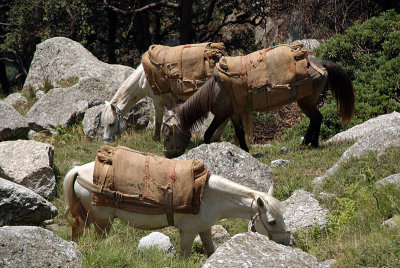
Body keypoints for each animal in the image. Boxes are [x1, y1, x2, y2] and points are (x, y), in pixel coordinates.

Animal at [64, 146, 292, 258]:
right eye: (272, 222)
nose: (287, 243)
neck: (209, 196)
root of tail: (79, 171)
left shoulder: (204, 228)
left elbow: (211, 250)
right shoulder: (189, 232)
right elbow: (183, 256)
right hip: (103, 221)